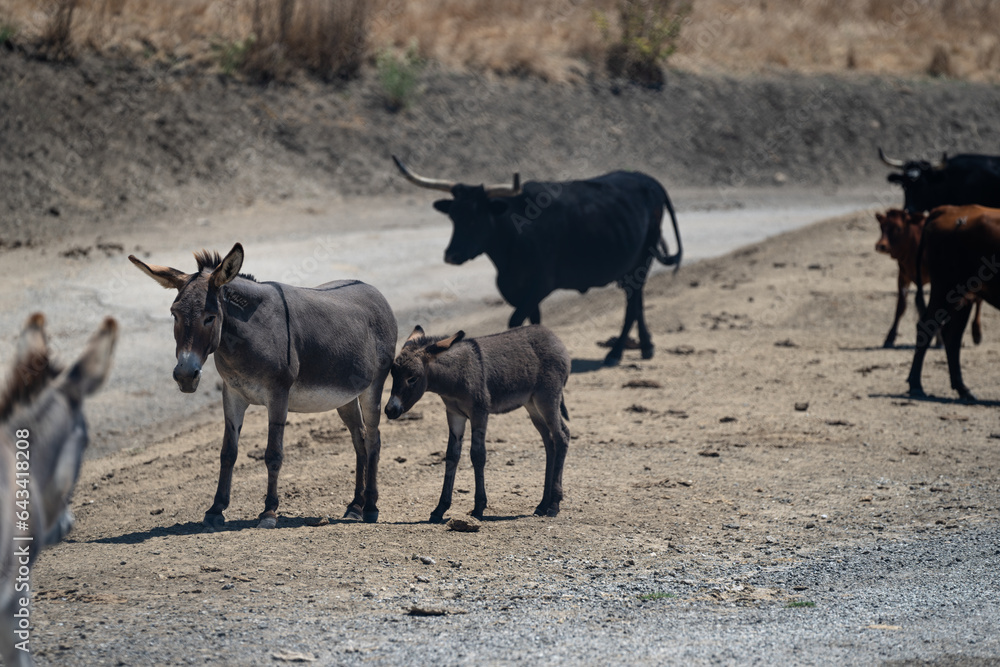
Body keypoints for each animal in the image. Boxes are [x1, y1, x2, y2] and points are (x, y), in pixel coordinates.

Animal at [392, 156, 683, 366]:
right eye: (453, 215)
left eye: (477, 217)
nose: (451, 255)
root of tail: (646, 179)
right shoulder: (521, 291)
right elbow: (534, 322)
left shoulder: (540, 286)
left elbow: (515, 322)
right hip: (631, 264)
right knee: (638, 299)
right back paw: (646, 347)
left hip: (643, 258)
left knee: (632, 304)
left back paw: (615, 354)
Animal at [875, 208, 982, 348]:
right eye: (881, 226)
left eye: (898, 227)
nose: (880, 246)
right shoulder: (903, 276)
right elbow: (902, 306)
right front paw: (890, 337)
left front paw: (939, 340)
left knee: (978, 300)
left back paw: (977, 333)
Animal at [907, 205, 1000, 402]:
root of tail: (949, 209)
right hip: (945, 288)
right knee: (928, 327)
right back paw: (916, 386)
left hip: (962, 298)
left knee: (952, 336)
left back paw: (963, 389)